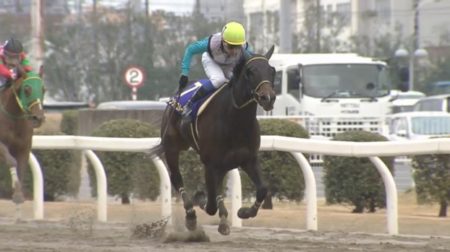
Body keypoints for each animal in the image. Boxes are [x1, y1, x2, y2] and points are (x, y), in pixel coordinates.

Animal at [0, 71, 45, 217]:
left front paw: (19, 197)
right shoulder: (1, 146)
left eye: (43, 89)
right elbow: (12, 161)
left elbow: (21, 167)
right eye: (26, 89)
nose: (38, 118)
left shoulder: (24, 148)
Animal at [151, 46, 276, 235]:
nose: (268, 98)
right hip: (172, 146)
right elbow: (210, 204)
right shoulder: (210, 163)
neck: (235, 120)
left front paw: (244, 212)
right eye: (250, 72)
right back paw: (191, 214)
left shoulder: (248, 159)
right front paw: (201, 201)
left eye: (272, 70)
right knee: (176, 178)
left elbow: (262, 189)